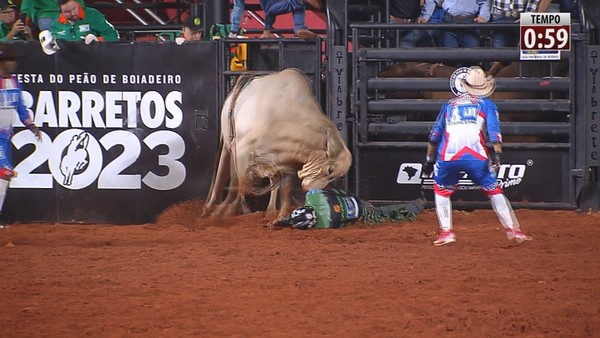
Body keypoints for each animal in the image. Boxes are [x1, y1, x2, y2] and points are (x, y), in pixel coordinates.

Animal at [204, 67, 354, 223]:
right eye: (330, 170)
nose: (311, 191)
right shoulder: (242, 151)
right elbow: (240, 183)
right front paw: (228, 211)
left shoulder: (286, 160)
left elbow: (285, 188)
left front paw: (279, 216)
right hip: (228, 144)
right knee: (227, 173)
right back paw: (212, 206)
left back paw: (268, 210)